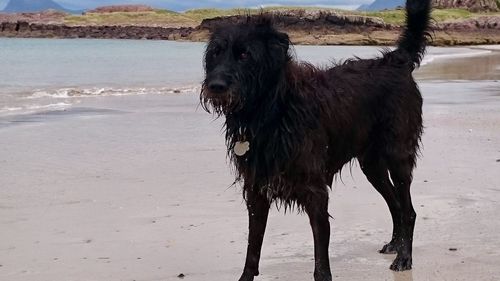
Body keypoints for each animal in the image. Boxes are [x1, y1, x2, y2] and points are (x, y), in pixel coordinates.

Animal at [201, 0, 432, 280]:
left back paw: (404, 257)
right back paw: (396, 244)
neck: (275, 109)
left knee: (408, 210)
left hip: (398, 155)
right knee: (395, 204)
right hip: (372, 165)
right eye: (215, 53)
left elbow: (321, 260)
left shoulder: (315, 192)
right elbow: (252, 249)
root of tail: (395, 60)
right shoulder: (256, 190)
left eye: (244, 55)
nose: (215, 86)